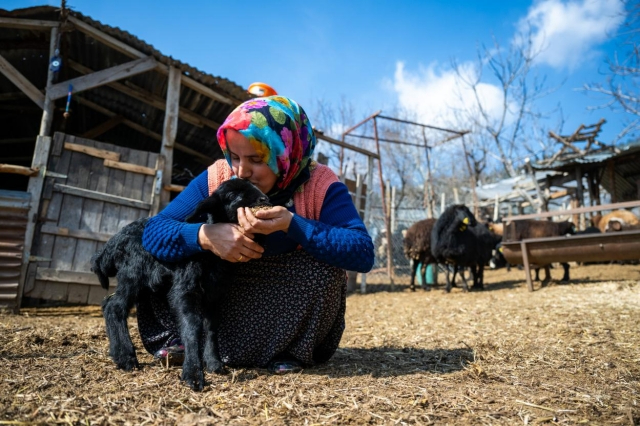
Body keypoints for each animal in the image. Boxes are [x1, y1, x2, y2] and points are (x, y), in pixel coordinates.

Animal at [90, 178, 270, 392]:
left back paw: (118, 354)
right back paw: (126, 358)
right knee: (115, 306)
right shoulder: (185, 288)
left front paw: (214, 363)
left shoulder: (214, 292)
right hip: (133, 274)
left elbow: (211, 327)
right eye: (233, 195)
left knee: (109, 303)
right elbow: (192, 325)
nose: (264, 200)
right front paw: (193, 374)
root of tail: (113, 242)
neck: (211, 255)